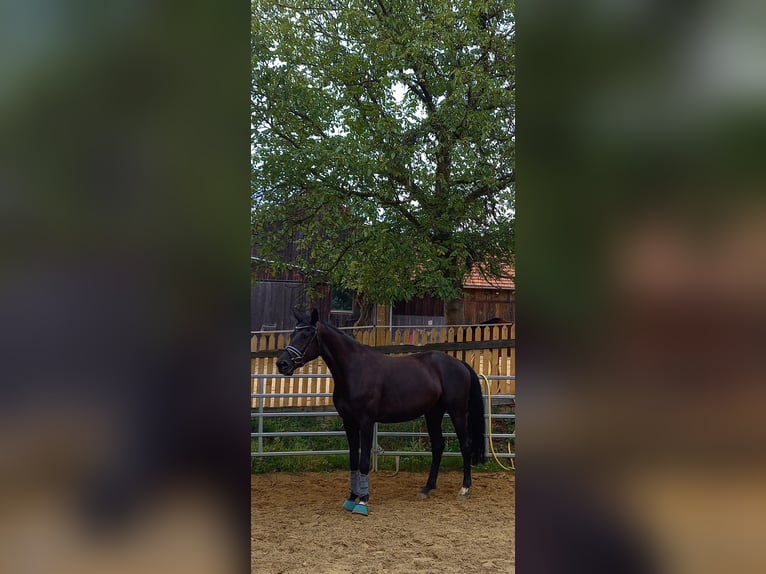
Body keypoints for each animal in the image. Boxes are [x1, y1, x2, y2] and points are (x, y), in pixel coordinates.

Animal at [276, 309, 486, 516]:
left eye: (306, 335)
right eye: (292, 334)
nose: (282, 364)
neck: (355, 370)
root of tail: (460, 365)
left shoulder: (366, 422)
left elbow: (364, 461)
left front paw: (363, 502)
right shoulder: (349, 422)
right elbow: (353, 460)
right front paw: (351, 498)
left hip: (457, 413)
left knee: (465, 445)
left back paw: (464, 488)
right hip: (433, 413)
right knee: (438, 446)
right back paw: (427, 488)